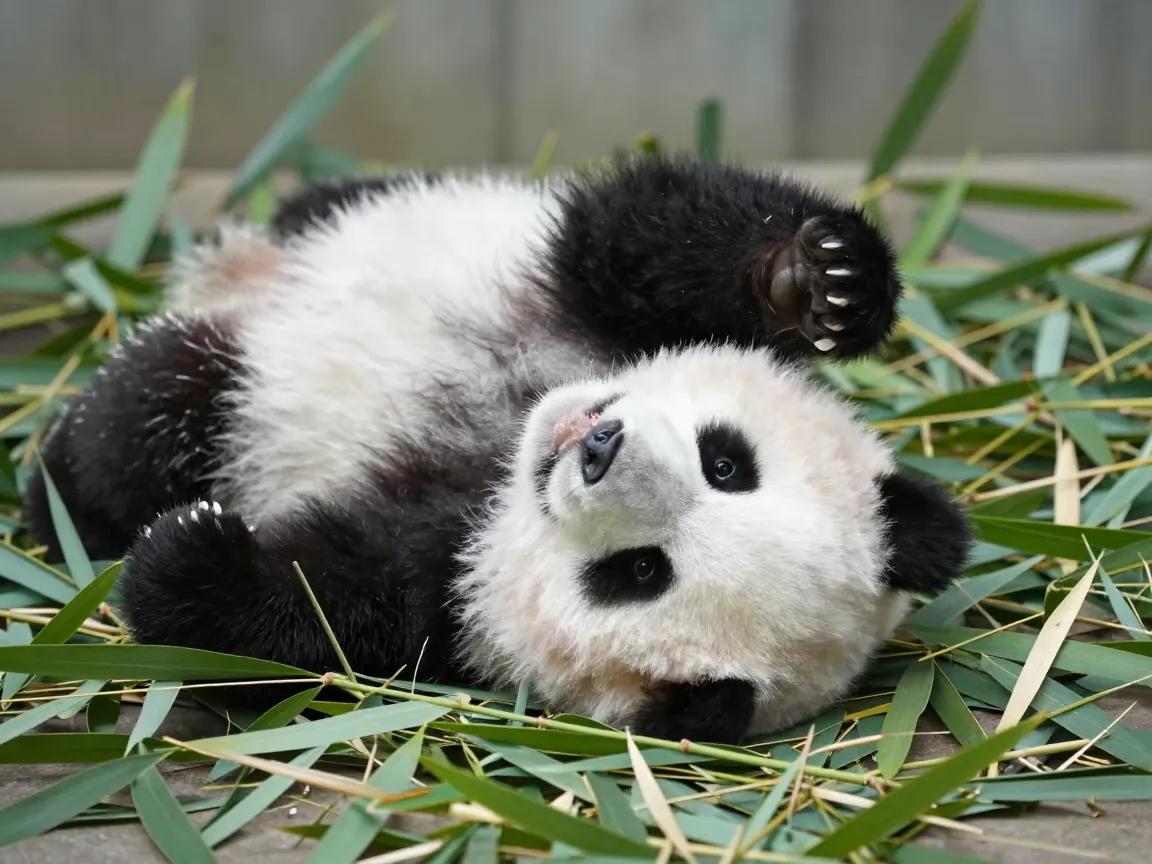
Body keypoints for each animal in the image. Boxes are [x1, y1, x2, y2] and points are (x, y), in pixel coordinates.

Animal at [22, 155, 972, 745]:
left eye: (638, 572)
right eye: (727, 462)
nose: (598, 449)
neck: (503, 442)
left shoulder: (440, 582)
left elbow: (320, 607)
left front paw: (189, 552)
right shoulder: (607, 298)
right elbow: (654, 232)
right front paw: (820, 282)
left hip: (232, 393)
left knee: (157, 405)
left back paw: (67, 487)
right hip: (367, 213)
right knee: (331, 207)